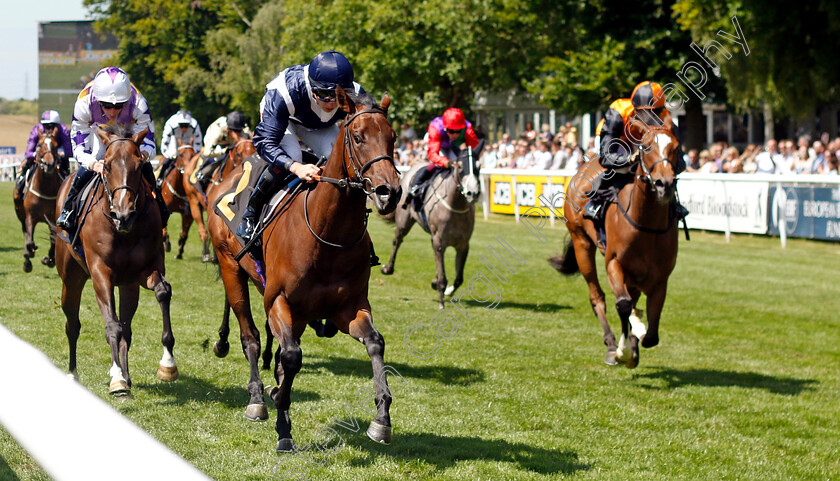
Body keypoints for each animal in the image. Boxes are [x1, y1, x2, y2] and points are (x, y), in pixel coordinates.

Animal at [13, 127, 61, 270]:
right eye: (39, 145)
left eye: (56, 145)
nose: (49, 164)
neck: (44, 187)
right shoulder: (30, 216)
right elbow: (29, 241)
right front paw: (29, 257)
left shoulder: (53, 218)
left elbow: (54, 240)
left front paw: (49, 259)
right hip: (20, 213)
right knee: (25, 232)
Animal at [55, 124, 177, 394]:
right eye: (108, 166)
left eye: (139, 165)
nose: (123, 215)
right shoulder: (101, 272)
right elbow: (111, 325)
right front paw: (118, 379)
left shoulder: (147, 269)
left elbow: (163, 291)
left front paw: (167, 363)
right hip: (71, 278)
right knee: (72, 325)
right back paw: (74, 373)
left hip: (129, 286)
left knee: (127, 328)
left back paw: (126, 373)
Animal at [210, 87, 404, 450]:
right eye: (358, 137)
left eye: (393, 137)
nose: (390, 192)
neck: (327, 233)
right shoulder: (278, 300)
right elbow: (290, 356)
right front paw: (283, 425)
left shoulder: (349, 307)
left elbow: (375, 342)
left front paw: (381, 418)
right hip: (230, 266)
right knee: (250, 336)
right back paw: (257, 399)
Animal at [378, 144, 480, 308]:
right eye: (459, 166)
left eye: (479, 166)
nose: (473, 193)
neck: (455, 207)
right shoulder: (439, 243)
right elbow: (442, 275)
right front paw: (441, 300)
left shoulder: (463, 244)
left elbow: (459, 278)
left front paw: (446, 289)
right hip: (403, 221)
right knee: (397, 241)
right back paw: (388, 268)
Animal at [556, 115, 680, 368]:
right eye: (646, 147)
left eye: (676, 147)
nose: (664, 184)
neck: (647, 226)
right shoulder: (614, 263)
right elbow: (622, 304)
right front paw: (625, 351)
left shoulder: (660, 277)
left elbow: (651, 334)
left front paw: (637, 335)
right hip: (581, 242)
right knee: (597, 297)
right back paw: (612, 343)